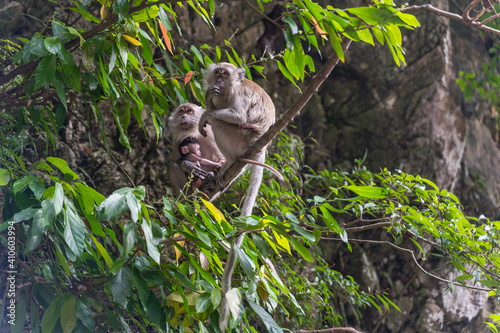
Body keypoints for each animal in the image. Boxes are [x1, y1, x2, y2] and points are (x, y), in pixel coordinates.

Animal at [198, 61, 278, 330]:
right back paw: (229, 169)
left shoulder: (238, 95)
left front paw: (206, 112)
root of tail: (260, 148)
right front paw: (209, 95)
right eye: (218, 73)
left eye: (225, 74)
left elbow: (238, 116)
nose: (219, 81)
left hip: (242, 138)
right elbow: (212, 103)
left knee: (221, 124)